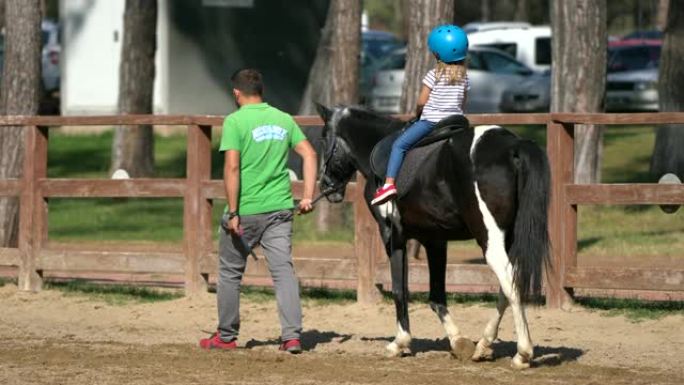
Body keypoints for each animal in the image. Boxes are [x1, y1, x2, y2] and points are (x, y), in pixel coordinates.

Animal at [318, 103, 552, 368]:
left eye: (323, 138)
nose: (325, 186)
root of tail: (512, 145)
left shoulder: (392, 234)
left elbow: (400, 289)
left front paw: (400, 342)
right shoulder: (435, 239)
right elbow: (436, 295)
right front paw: (458, 341)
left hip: (489, 238)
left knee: (508, 278)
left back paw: (523, 353)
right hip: (509, 237)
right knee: (509, 284)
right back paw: (483, 345)